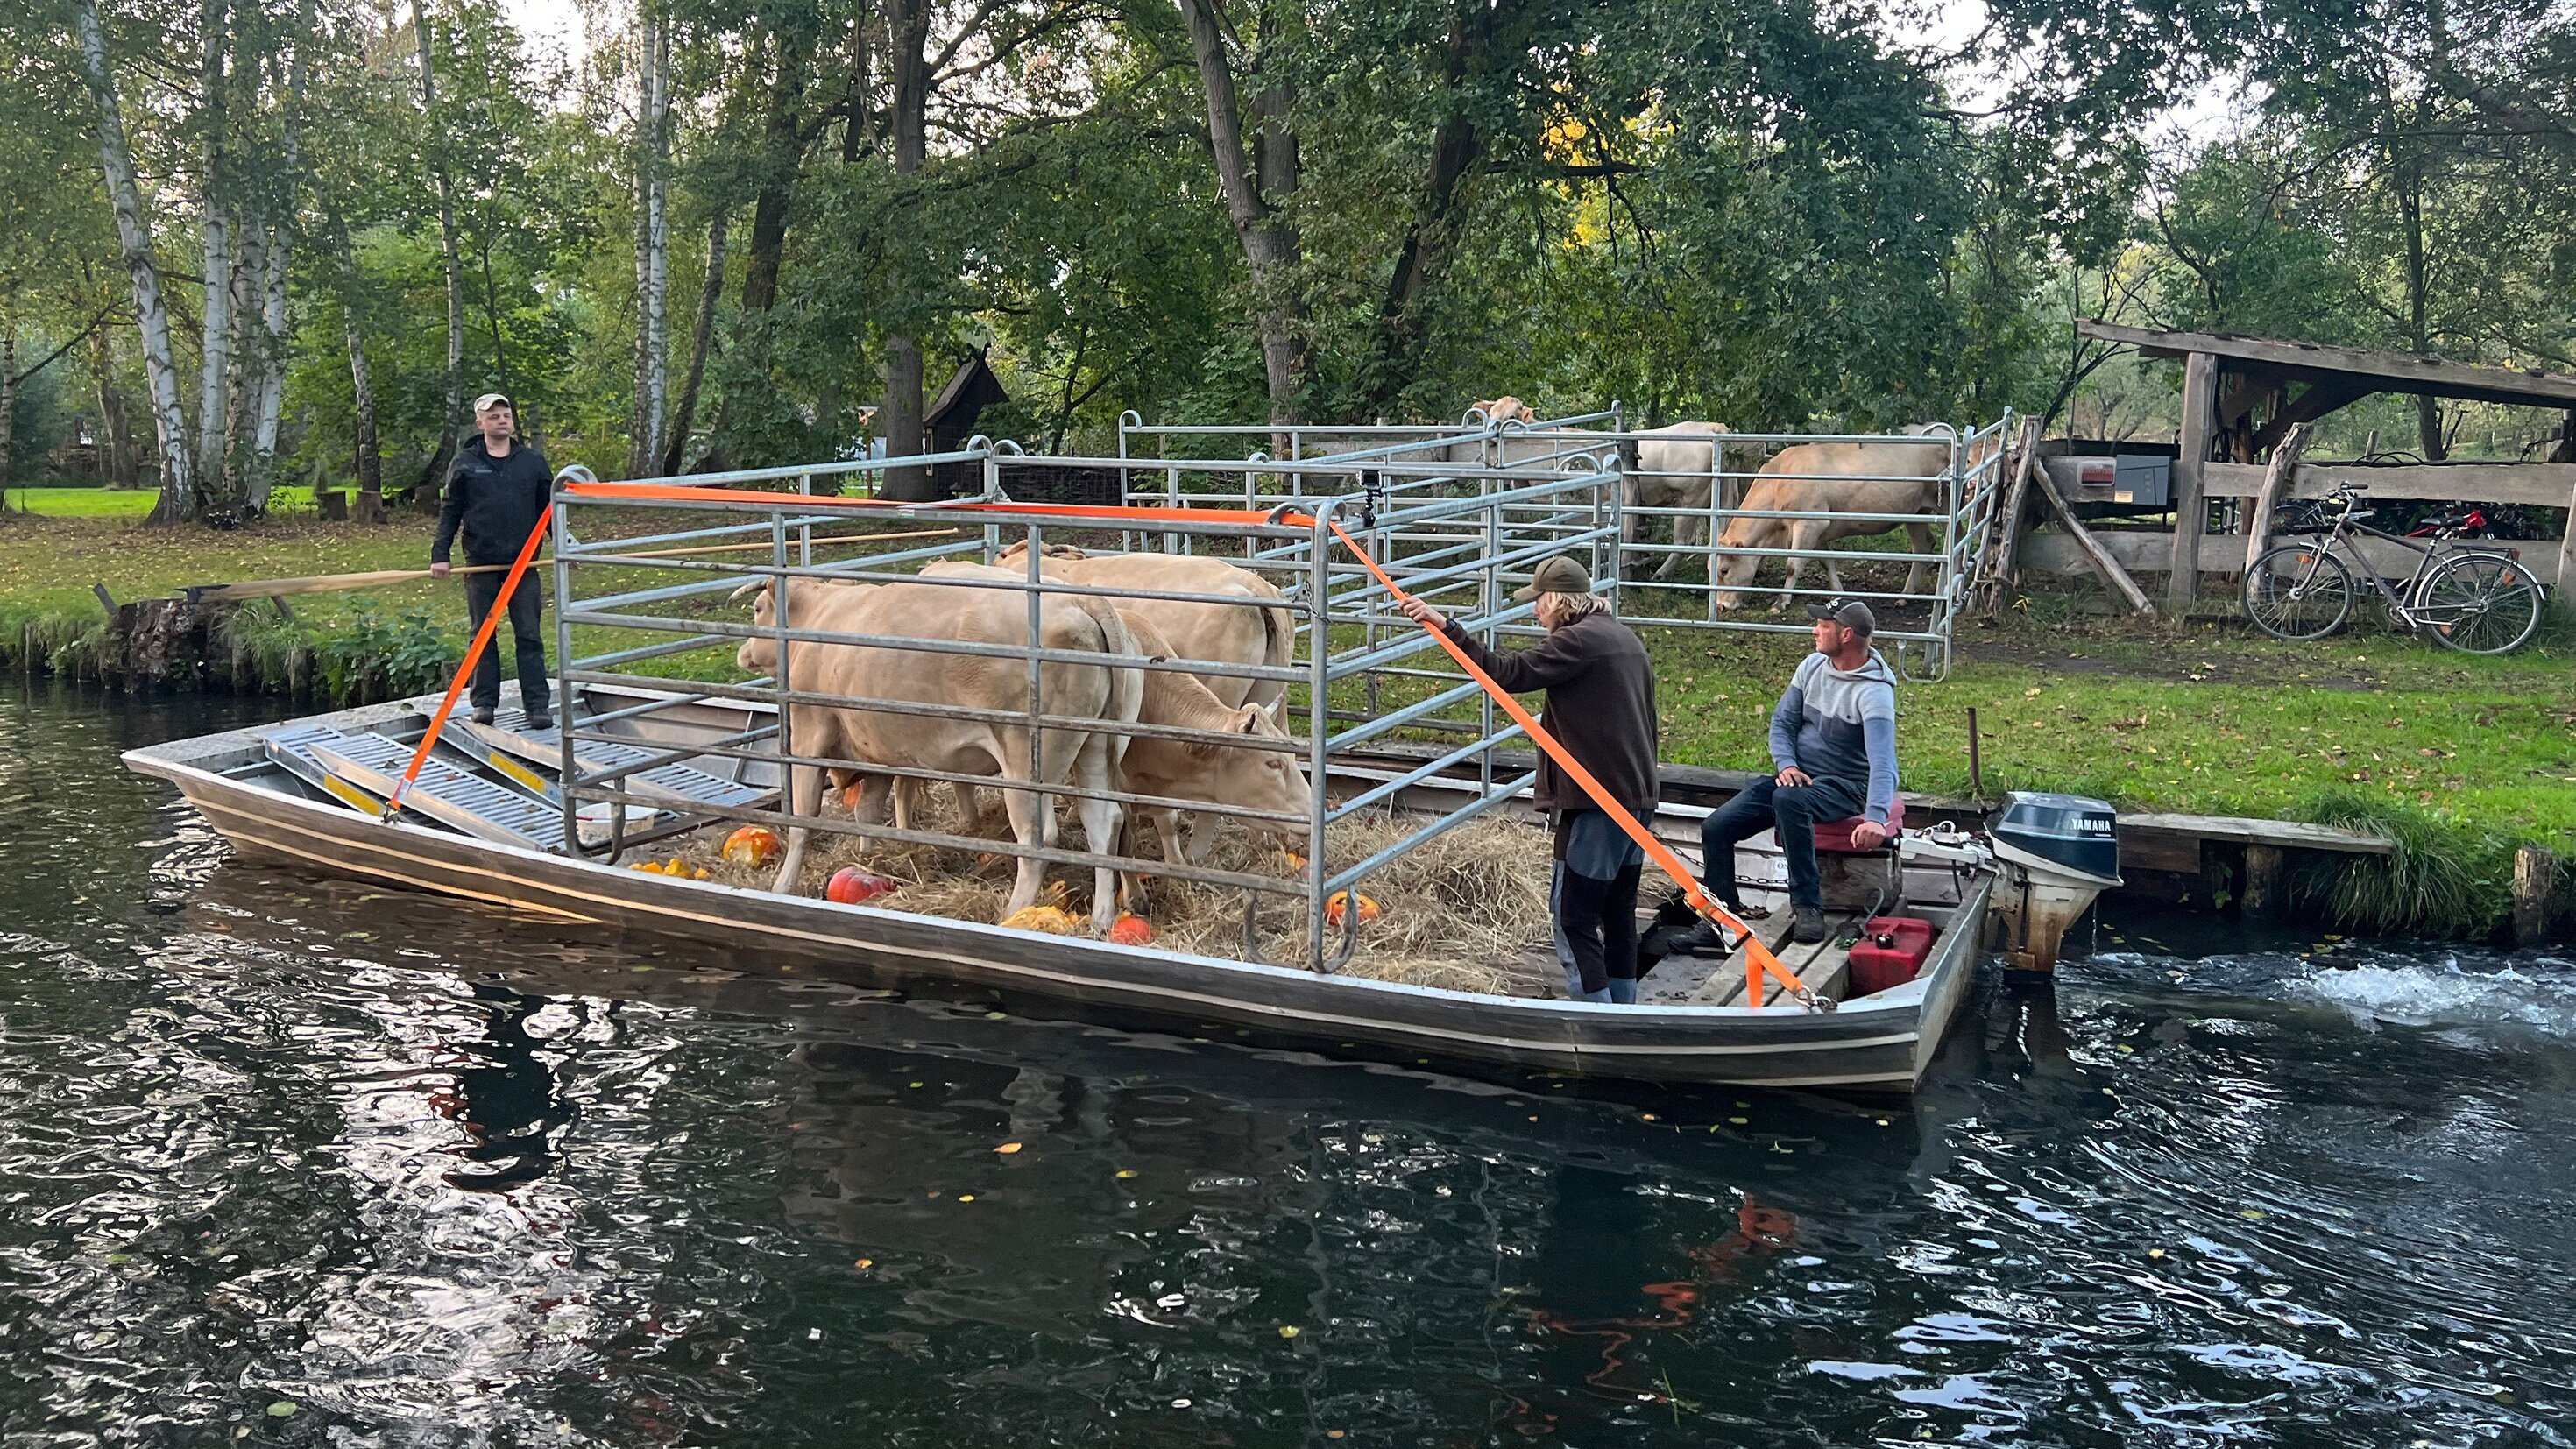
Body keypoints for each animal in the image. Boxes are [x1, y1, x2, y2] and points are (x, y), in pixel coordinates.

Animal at [747, 569, 1149, 931]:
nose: (744, 652)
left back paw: (1012, 915)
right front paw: (868, 858)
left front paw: (783, 884)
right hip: (1094, 747)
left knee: (1038, 839)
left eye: (756, 608)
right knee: (1104, 824)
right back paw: (1100, 919)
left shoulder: (808, 733)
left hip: (1027, 761)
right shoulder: (875, 750)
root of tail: (1081, 601)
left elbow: (803, 819)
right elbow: (868, 812)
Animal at [1720, 427, 1978, 615]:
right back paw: (1904, 597)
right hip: (1916, 512)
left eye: (1724, 570)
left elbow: (1793, 565)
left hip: (1944, 505)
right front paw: (1838, 593)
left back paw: (1952, 593)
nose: (1721, 606)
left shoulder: (1808, 524)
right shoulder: (1820, 529)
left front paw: (1780, 603)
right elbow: (1827, 562)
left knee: (1956, 540)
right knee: (1924, 544)